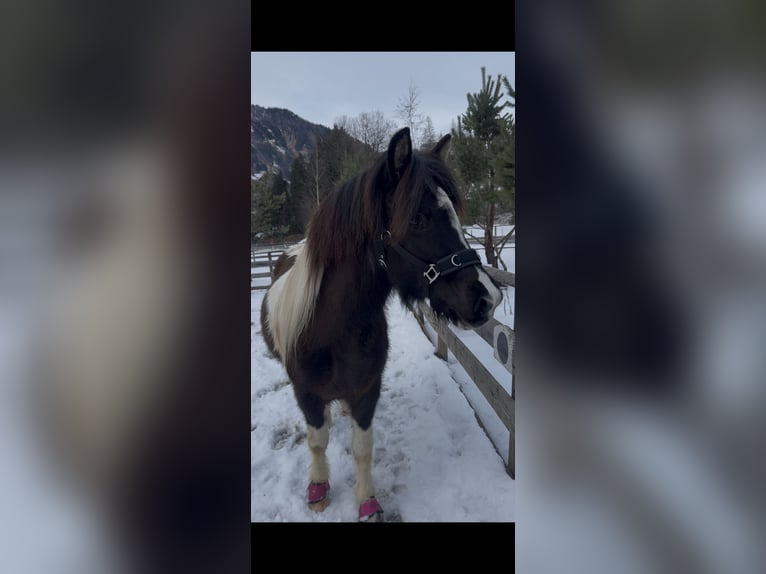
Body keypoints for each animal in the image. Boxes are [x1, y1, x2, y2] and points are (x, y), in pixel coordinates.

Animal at [260, 127, 502, 522]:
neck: (331, 331)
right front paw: (318, 489)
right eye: (417, 219)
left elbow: (362, 447)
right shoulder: (306, 393)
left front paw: (367, 501)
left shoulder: (367, 390)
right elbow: (317, 441)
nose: (488, 297)